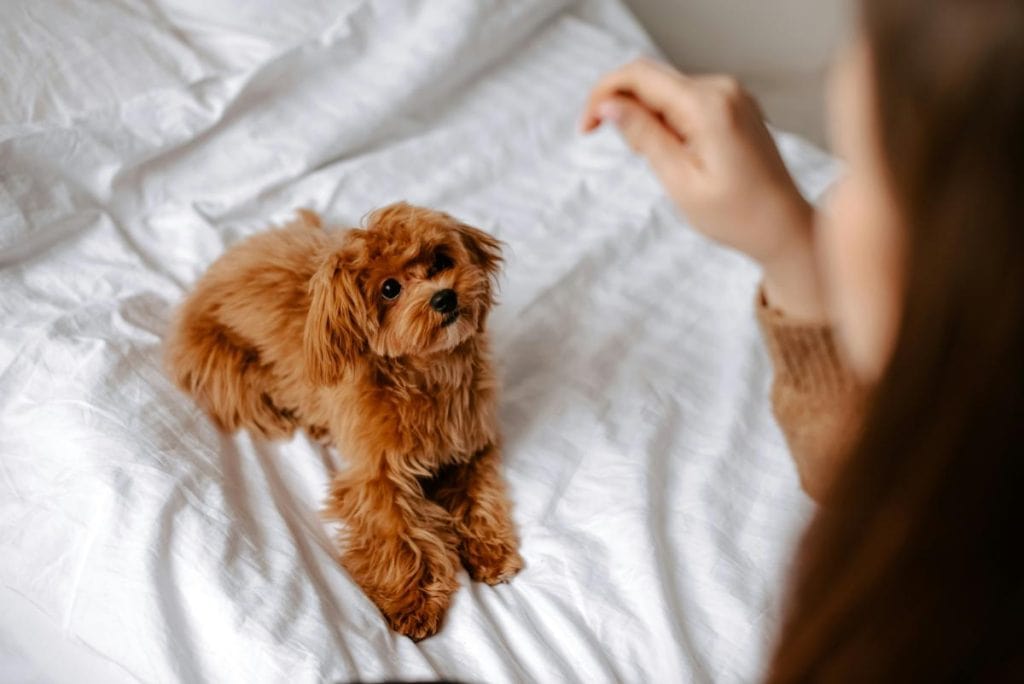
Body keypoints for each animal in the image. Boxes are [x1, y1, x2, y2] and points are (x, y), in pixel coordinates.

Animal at [166, 202, 524, 643]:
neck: (428, 373)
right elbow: (396, 532)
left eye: (441, 261)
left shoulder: (470, 447)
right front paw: (412, 603)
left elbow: (478, 497)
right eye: (389, 289)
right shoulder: (377, 477)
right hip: (228, 370)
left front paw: (490, 552)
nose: (444, 297)